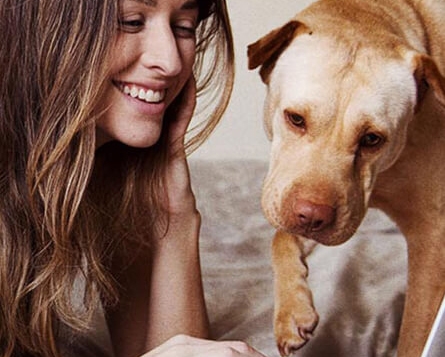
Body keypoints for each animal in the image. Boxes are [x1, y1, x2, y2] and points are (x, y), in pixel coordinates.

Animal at [246, 0, 444, 356]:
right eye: (296, 119)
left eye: (372, 139)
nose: (312, 217)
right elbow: (280, 236)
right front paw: (292, 310)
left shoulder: (431, 238)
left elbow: (415, 336)